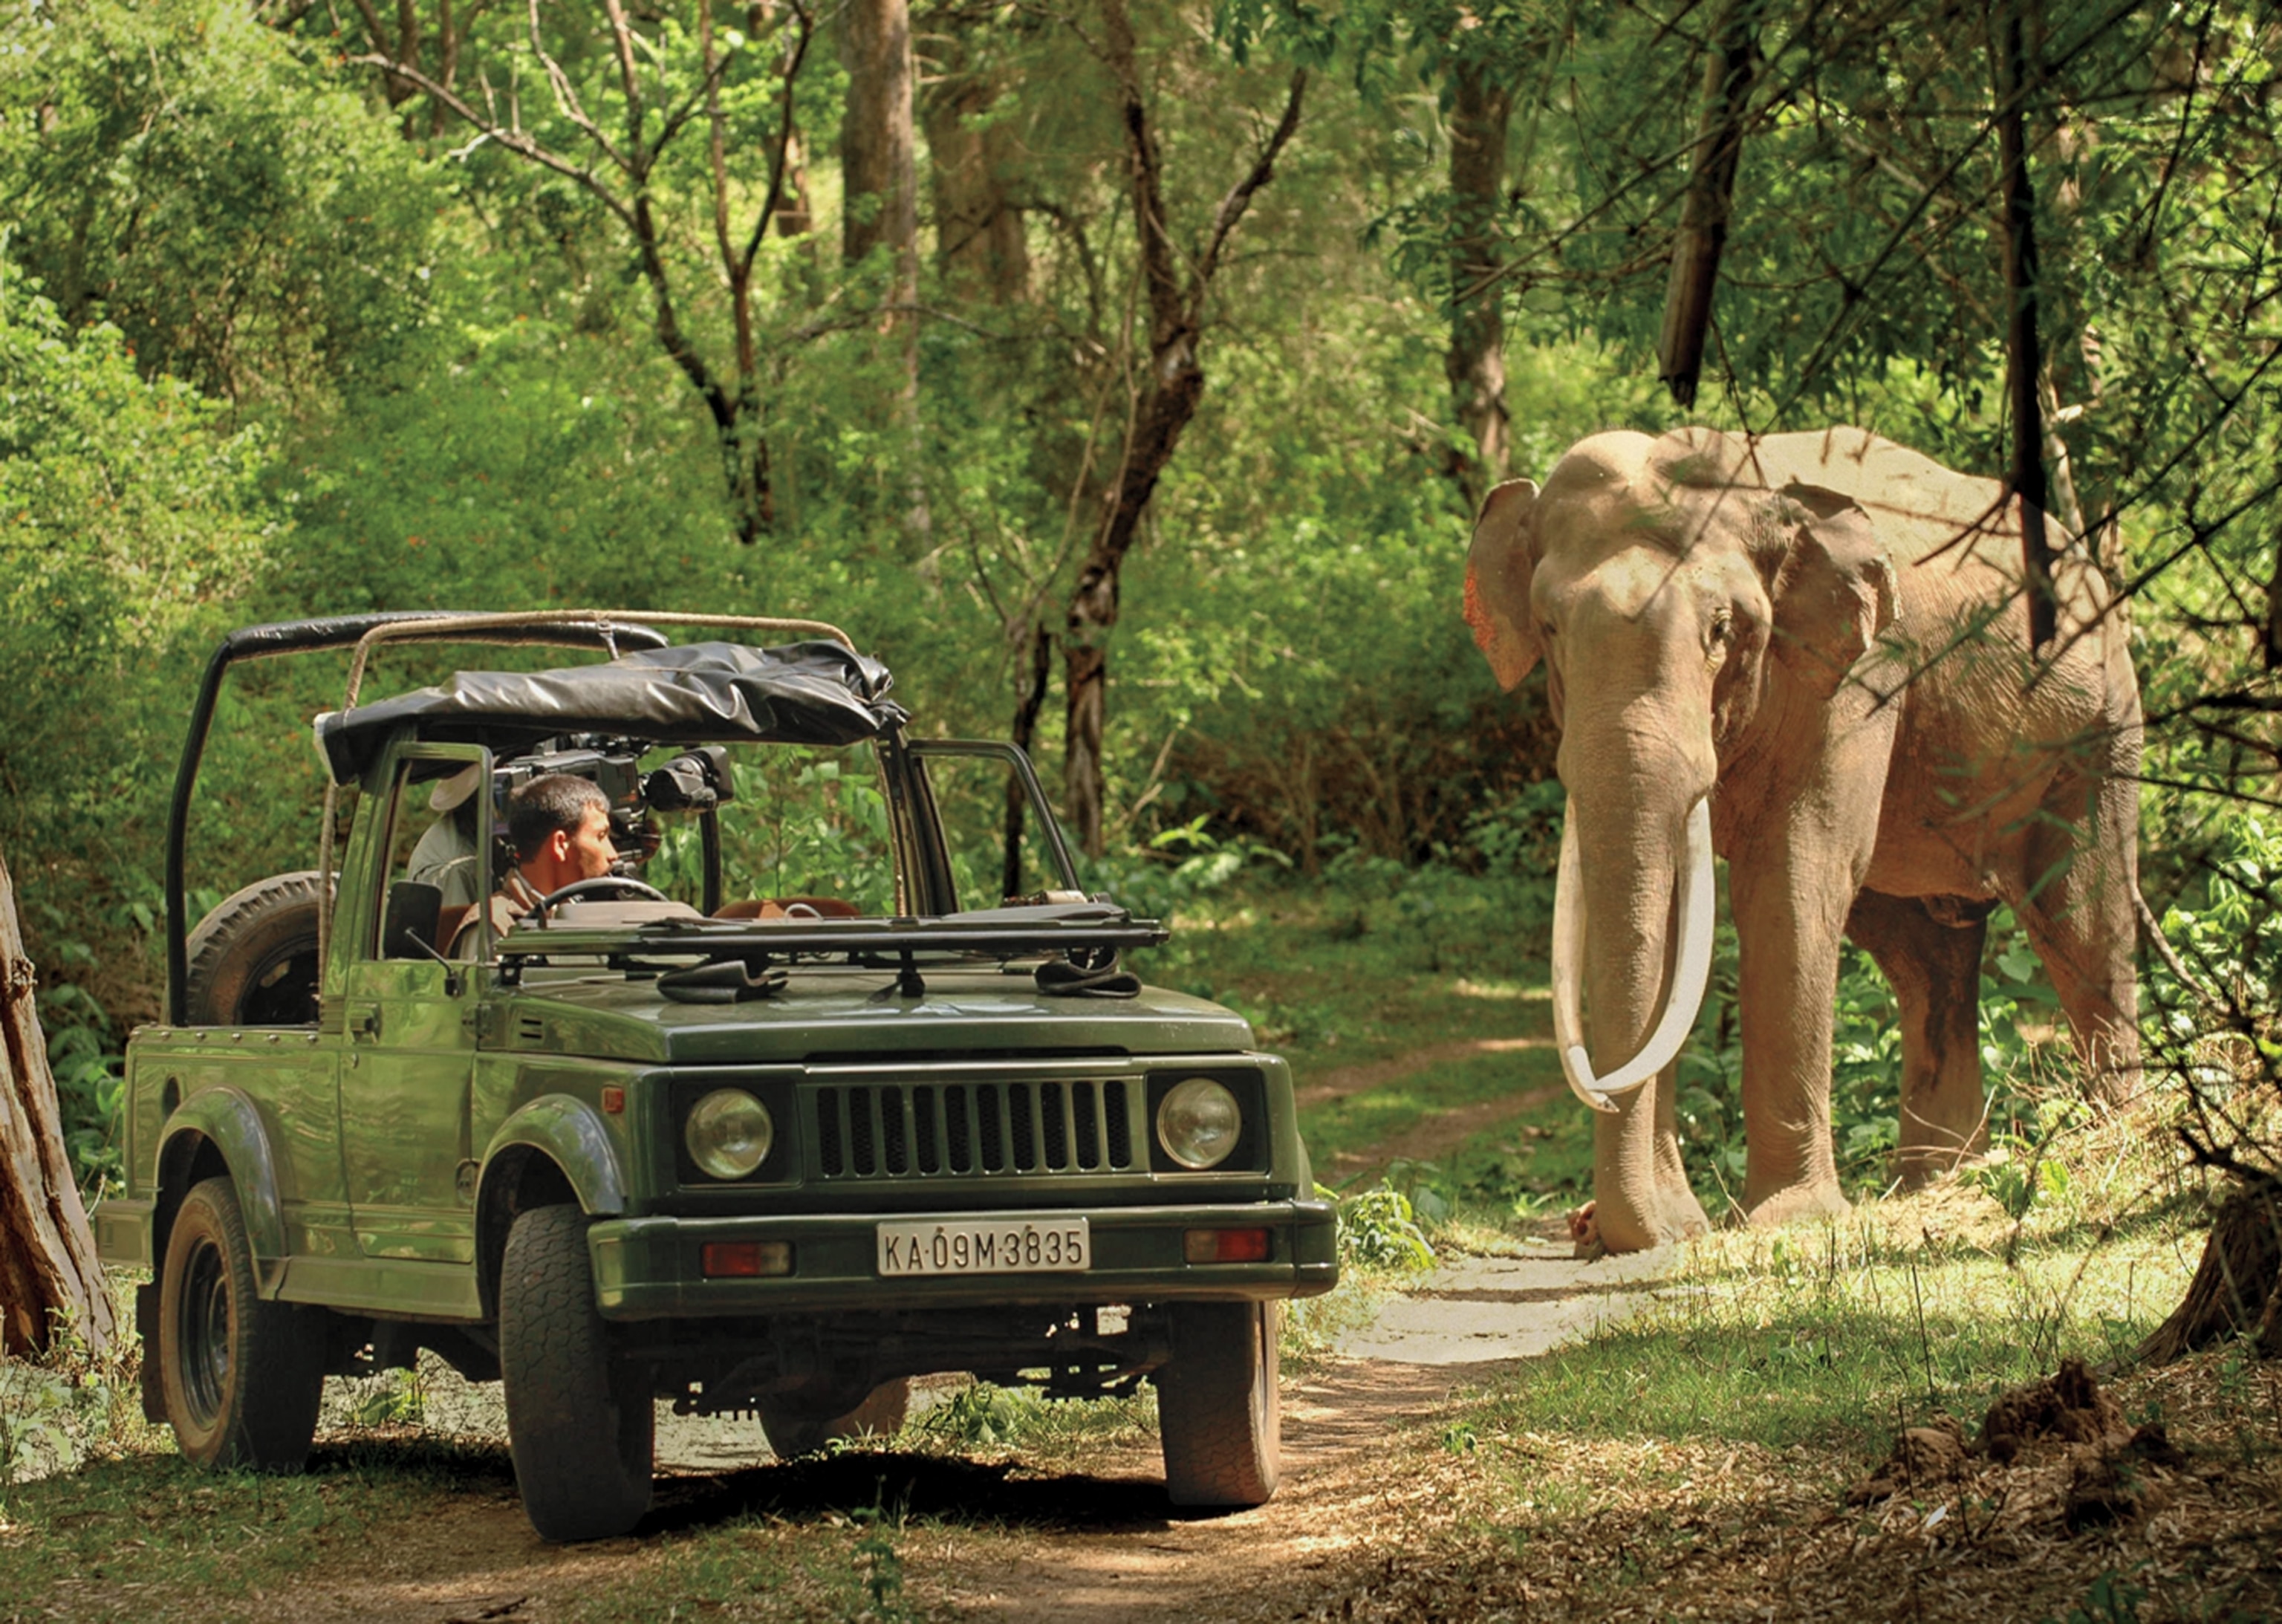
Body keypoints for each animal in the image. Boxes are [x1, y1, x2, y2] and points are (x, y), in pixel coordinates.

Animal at [1465, 426, 2142, 1254]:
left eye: (1721, 630)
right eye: (1550, 629)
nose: (1589, 1225)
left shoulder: (1860, 673)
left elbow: (1794, 872)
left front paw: (1790, 1218)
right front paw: (1680, 1225)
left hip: (2096, 733)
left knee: (2080, 917)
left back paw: (2116, 1139)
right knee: (1927, 958)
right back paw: (1935, 1182)